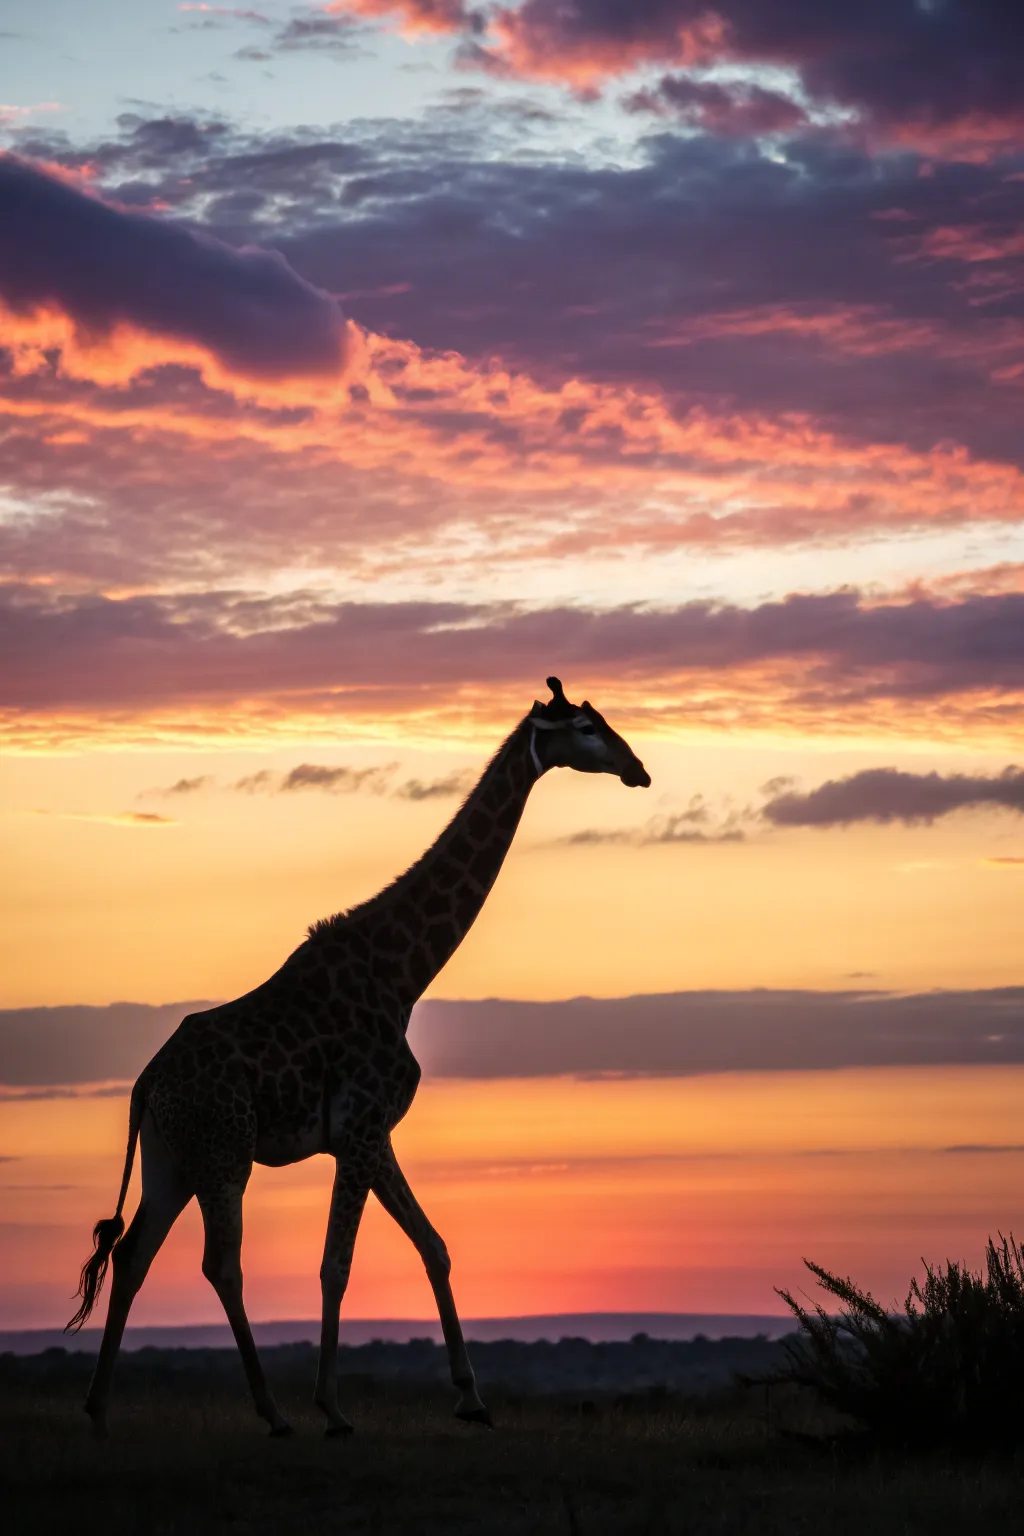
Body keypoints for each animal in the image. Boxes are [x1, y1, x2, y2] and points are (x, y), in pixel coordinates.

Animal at [67, 678, 651, 1436]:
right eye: (585, 728)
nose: (638, 769)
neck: (404, 974)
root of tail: (146, 1083)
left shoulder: (371, 1135)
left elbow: (433, 1245)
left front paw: (471, 1398)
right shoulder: (362, 1128)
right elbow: (335, 1265)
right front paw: (333, 1406)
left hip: (171, 1157)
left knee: (134, 1253)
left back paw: (99, 1406)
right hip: (225, 1152)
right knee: (220, 1263)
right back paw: (274, 1412)